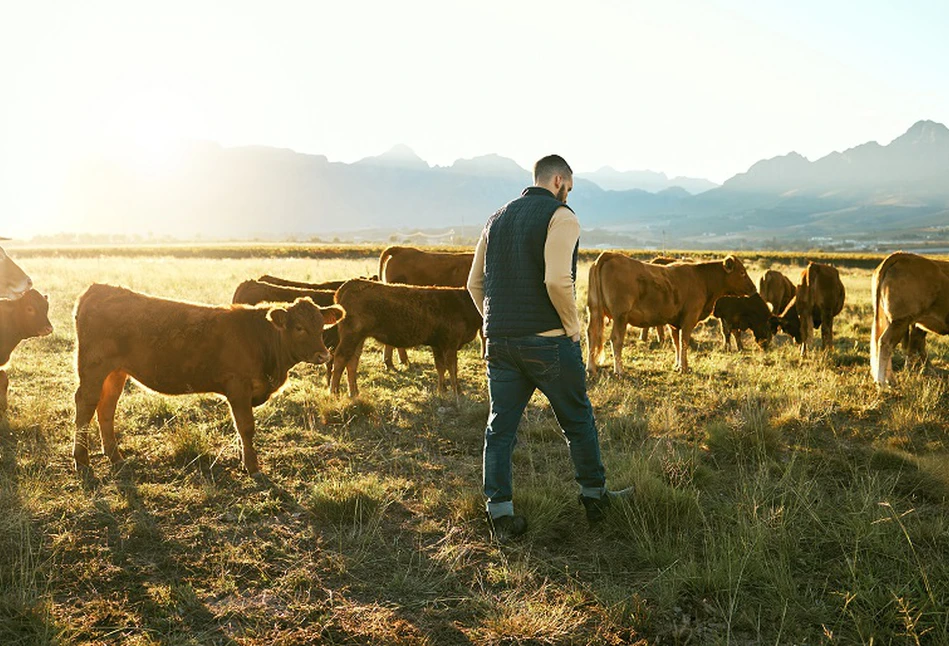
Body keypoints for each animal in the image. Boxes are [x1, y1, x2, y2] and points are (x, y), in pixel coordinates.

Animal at [72, 286, 344, 478]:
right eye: (299, 328)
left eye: (321, 326)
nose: (323, 355)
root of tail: (98, 289)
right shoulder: (238, 388)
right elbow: (246, 427)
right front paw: (253, 467)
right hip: (93, 368)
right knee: (86, 405)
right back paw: (82, 461)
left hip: (115, 372)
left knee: (106, 407)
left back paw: (114, 456)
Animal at [332, 280, 482, 398]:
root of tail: (350, 284)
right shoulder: (450, 344)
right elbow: (452, 368)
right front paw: (458, 393)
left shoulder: (438, 345)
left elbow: (441, 367)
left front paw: (442, 391)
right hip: (351, 336)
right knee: (340, 359)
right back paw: (334, 393)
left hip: (358, 338)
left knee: (352, 362)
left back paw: (354, 393)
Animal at [584, 253, 756, 374]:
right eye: (742, 272)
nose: (754, 289)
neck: (702, 278)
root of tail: (610, 255)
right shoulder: (689, 319)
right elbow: (684, 342)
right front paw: (684, 368)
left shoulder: (674, 323)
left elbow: (677, 343)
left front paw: (678, 365)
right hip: (621, 316)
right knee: (616, 339)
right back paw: (619, 370)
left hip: (594, 310)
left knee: (592, 334)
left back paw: (590, 368)